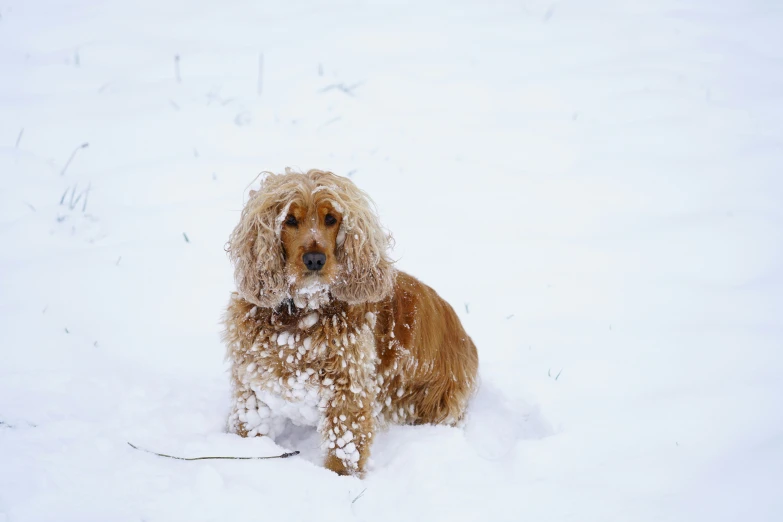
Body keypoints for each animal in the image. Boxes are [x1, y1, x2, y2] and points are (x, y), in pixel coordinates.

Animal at [220, 169, 478, 474]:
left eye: (331, 219)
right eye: (290, 220)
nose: (315, 259)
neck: (303, 312)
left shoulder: (348, 390)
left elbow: (343, 448)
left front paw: (338, 479)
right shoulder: (252, 381)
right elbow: (247, 426)